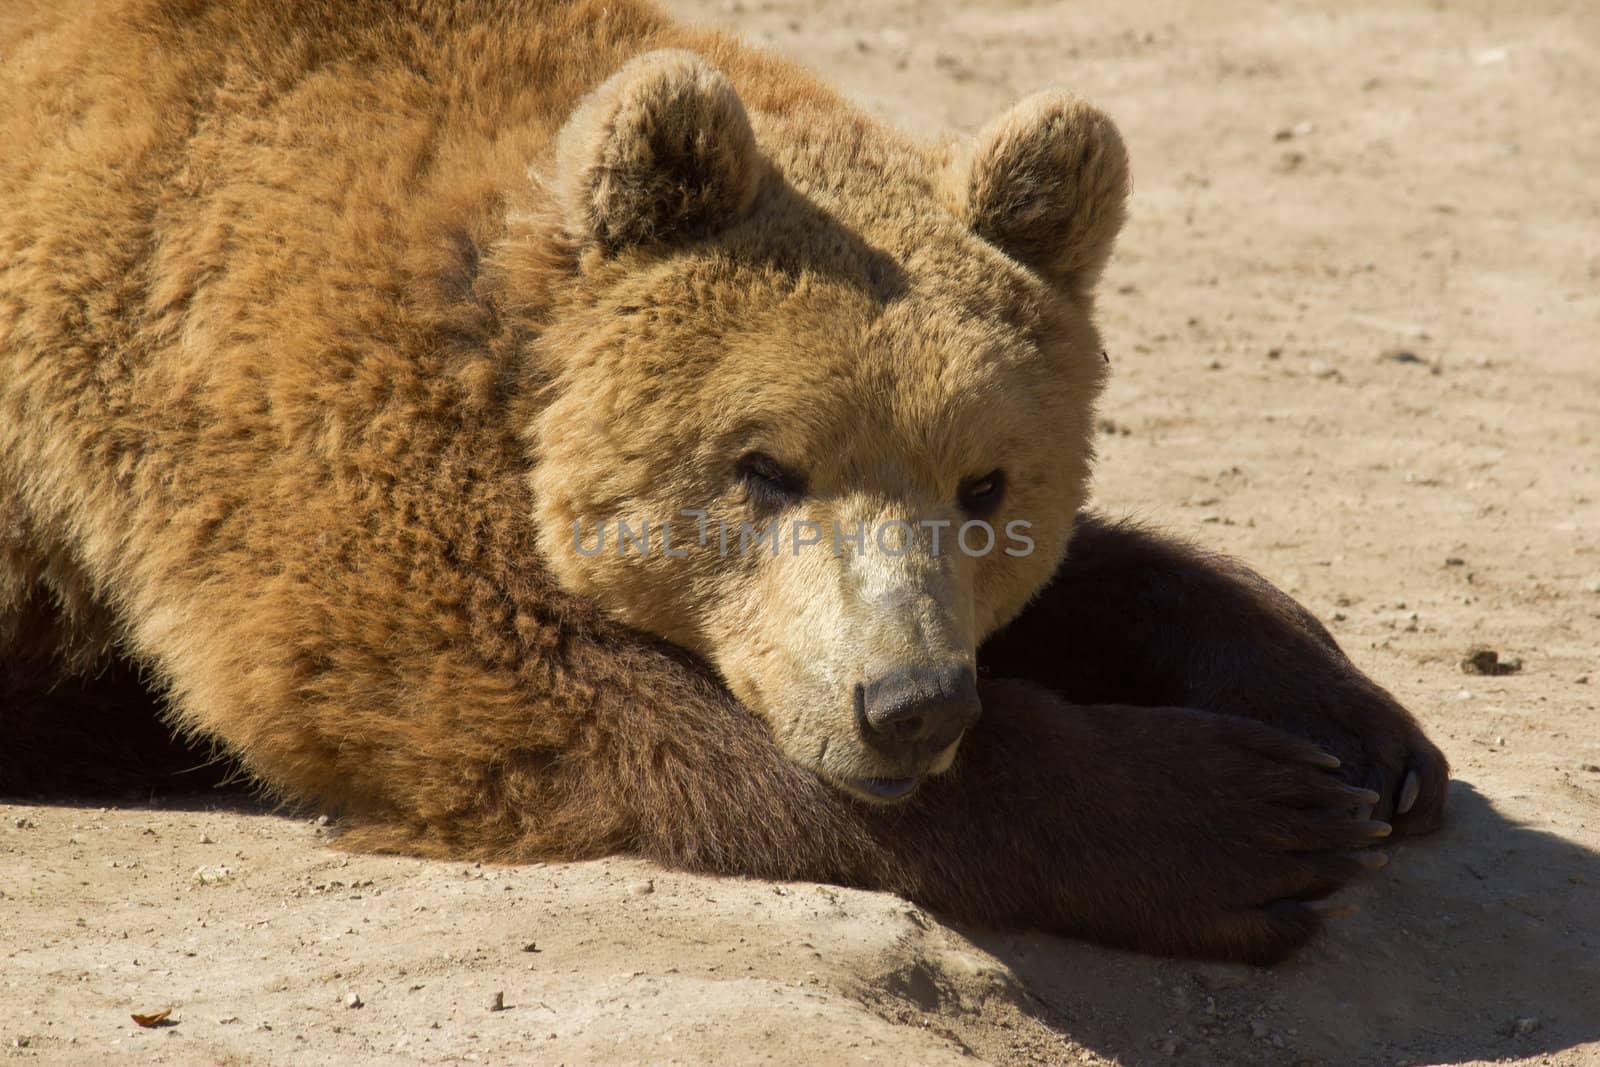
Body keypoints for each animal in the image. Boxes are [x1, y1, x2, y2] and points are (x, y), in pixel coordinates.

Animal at [3, 0, 1452, 966]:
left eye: (985, 480)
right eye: (763, 464)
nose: (910, 701)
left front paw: (1361, 735)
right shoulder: (282, 395)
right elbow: (481, 675)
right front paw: (1251, 816)